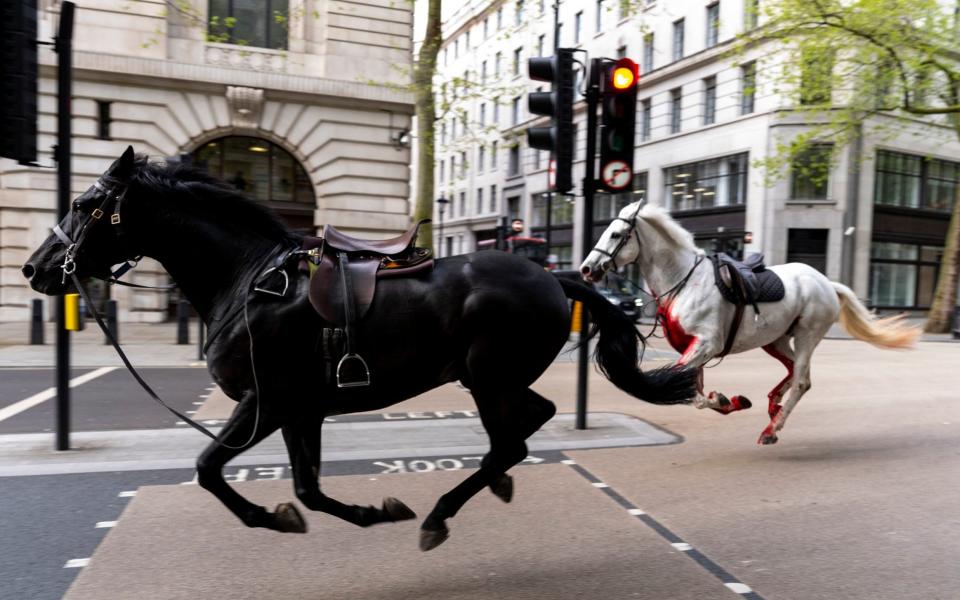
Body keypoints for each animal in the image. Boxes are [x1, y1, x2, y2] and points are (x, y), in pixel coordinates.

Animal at [22, 148, 692, 552]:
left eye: (83, 205)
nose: (35, 268)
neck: (248, 280)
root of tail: (555, 277)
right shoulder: (301, 410)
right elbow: (307, 489)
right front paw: (369, 512)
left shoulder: (265, 402)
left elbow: (210, 468)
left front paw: (272, 517)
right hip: (491, 378)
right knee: (529, 424)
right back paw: (489, 486)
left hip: (486, 377)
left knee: (512, 440)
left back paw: (441, 513)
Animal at [580, 204, 920, 442]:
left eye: (615, 234)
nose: (586, 268)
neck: (684, 281)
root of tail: (826, 282)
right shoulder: (694, 347)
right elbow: (693, 390)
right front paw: (728, 400)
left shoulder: (706, 344)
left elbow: (685, 390)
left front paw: (722, 399)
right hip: (776, 339)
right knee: (795, 371)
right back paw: (773, 407)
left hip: (807, 335)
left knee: (801, 380)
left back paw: (772, 428)